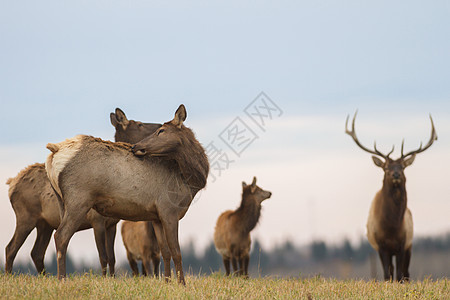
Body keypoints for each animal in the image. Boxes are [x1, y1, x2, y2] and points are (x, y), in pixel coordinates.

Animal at [4, 107, 160, 274]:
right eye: (139, 124)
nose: (160, 126)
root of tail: (11, 184)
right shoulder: (97, 220)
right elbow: (103, 257)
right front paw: (104, 277)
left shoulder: (112, 224)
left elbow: (112, 258)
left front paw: (111, 277)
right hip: (26, 216)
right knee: (11, 248)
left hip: (45, 224)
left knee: (37, 252)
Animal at [45, 103, 207, 284]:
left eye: (162, 130)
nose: (136, 147)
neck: (187, 180)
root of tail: (54, 152)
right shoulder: (168, 209)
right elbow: (176, 251)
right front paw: (181, 284)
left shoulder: (156, 216)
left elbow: (164, 252)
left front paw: (166, 281)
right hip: (79, 199)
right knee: (61, 236)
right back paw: (62, 279)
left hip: (62, 201)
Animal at [346, 112, 438, 282]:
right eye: (386, 168)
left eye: (402, 167)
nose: (396, 174)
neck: (391, 226)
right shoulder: (381, 246)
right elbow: (387, 275)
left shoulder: (403, 244)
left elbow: (400, 274)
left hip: (410, 246)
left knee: (406, 273)